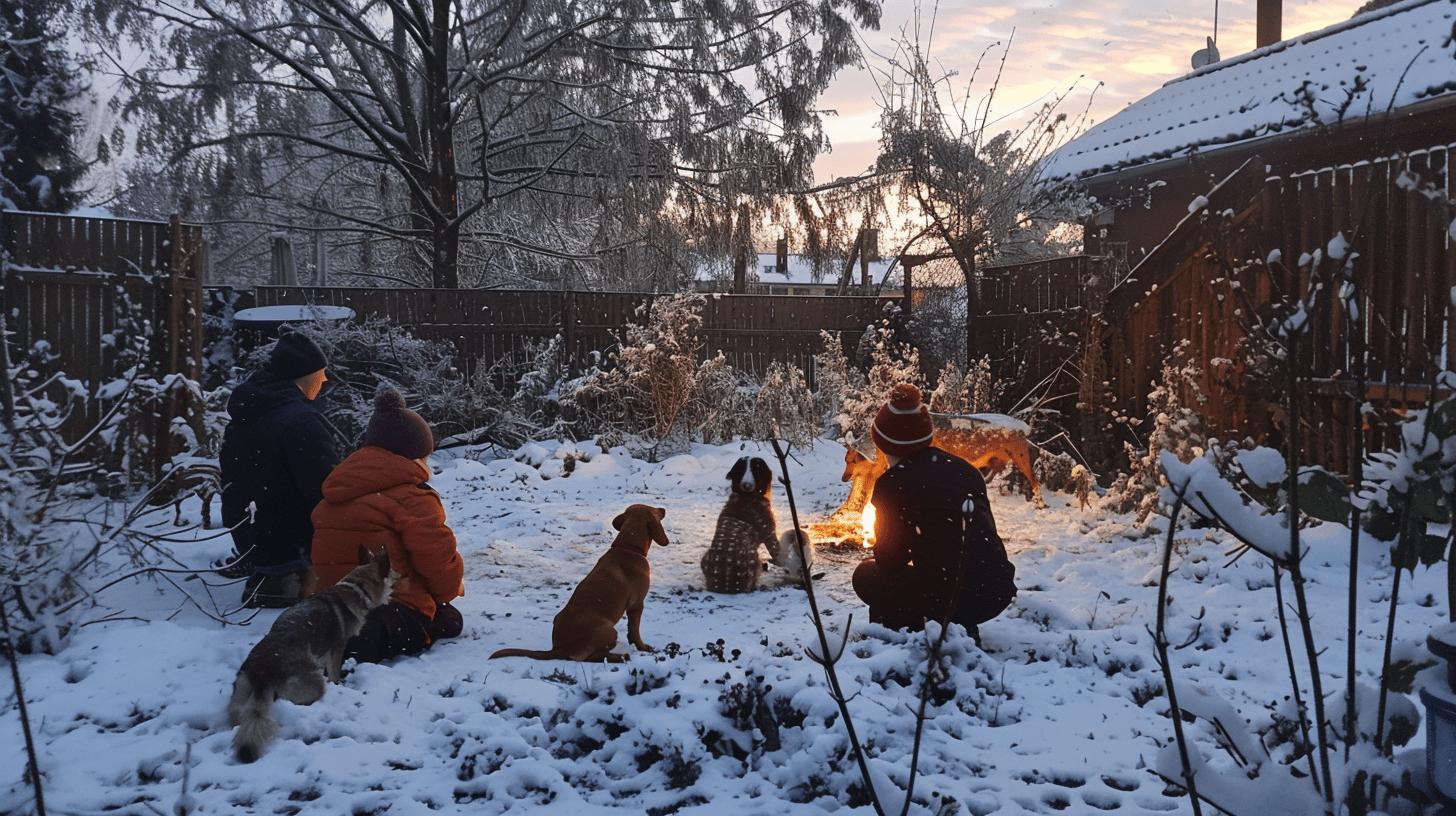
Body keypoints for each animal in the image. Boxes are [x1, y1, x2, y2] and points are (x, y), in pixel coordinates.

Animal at [227, 547, 390, 763]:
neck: (356, 587)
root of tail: (263, 671)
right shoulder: (337, 647)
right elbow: (334, 673)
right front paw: (339, 683)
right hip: (312, 683)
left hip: (240, 692)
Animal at [492, 504, 666, 664]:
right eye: (655, 510)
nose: (663, 509)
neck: (629, 548)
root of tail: (558, 649)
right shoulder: (636, 604)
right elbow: (635, 631)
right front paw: (643, 647)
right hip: (609, 629)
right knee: (590, 658)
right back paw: (620, 657)